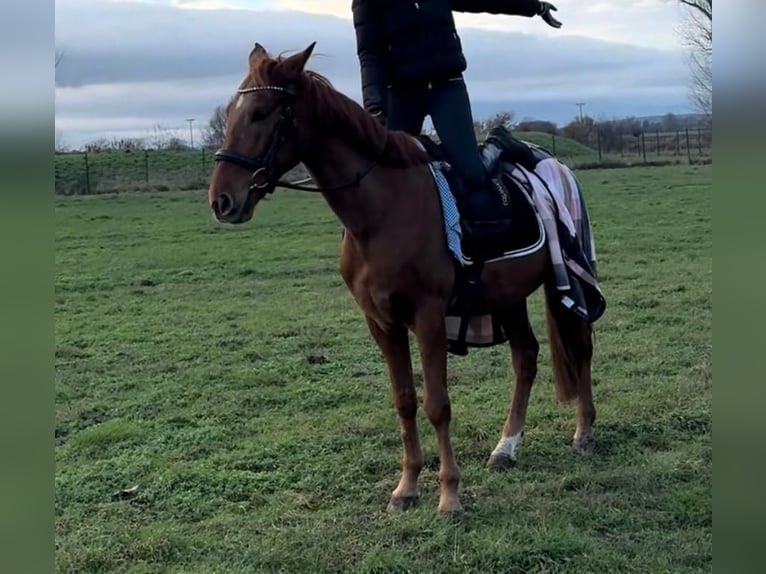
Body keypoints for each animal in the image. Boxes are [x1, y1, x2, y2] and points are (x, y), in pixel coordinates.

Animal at [207, 42, 597, 515]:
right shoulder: (382, 322)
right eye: (232, 112)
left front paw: (449, 495)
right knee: (526, 357)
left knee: (580, 348)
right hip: (508, 297)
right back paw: (505, 448)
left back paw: (584, 433)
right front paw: (407, 486)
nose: (222, 199)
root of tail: (556, 166)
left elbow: (437, 404)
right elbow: (405, 401)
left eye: (261, 113)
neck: (382, 212)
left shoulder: (428, 316)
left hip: (565, 286)